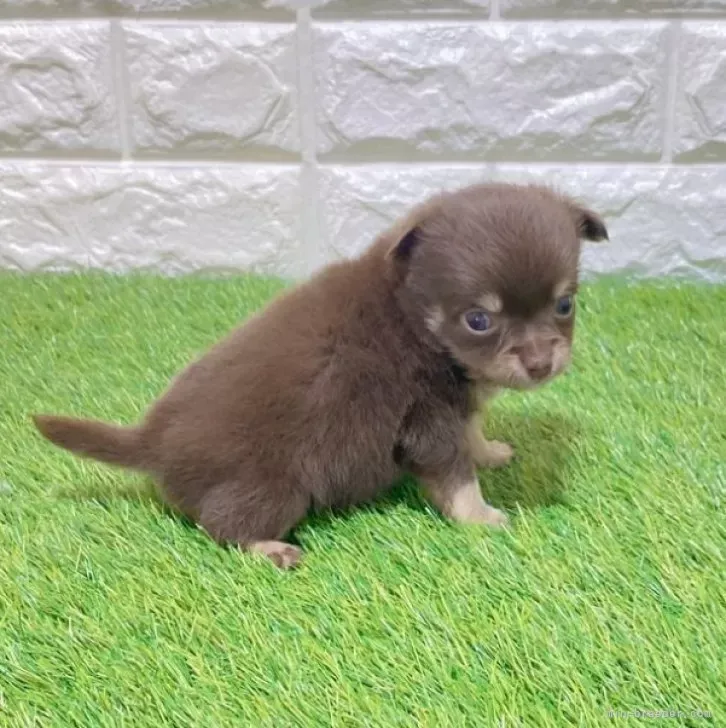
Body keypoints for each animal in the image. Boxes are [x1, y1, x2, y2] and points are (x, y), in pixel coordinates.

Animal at [32, 182, 607, 568]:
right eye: (479, 320)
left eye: (564, 305)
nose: (541, 363)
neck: (410, 314)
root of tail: (152, 441)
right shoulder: (426, 424)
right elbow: (456, 479)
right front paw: (482, 517)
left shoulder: (455, 409)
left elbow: (472, 434)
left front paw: (490, 452)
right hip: (276, 490)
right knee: (220, 526)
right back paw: (270, 548)